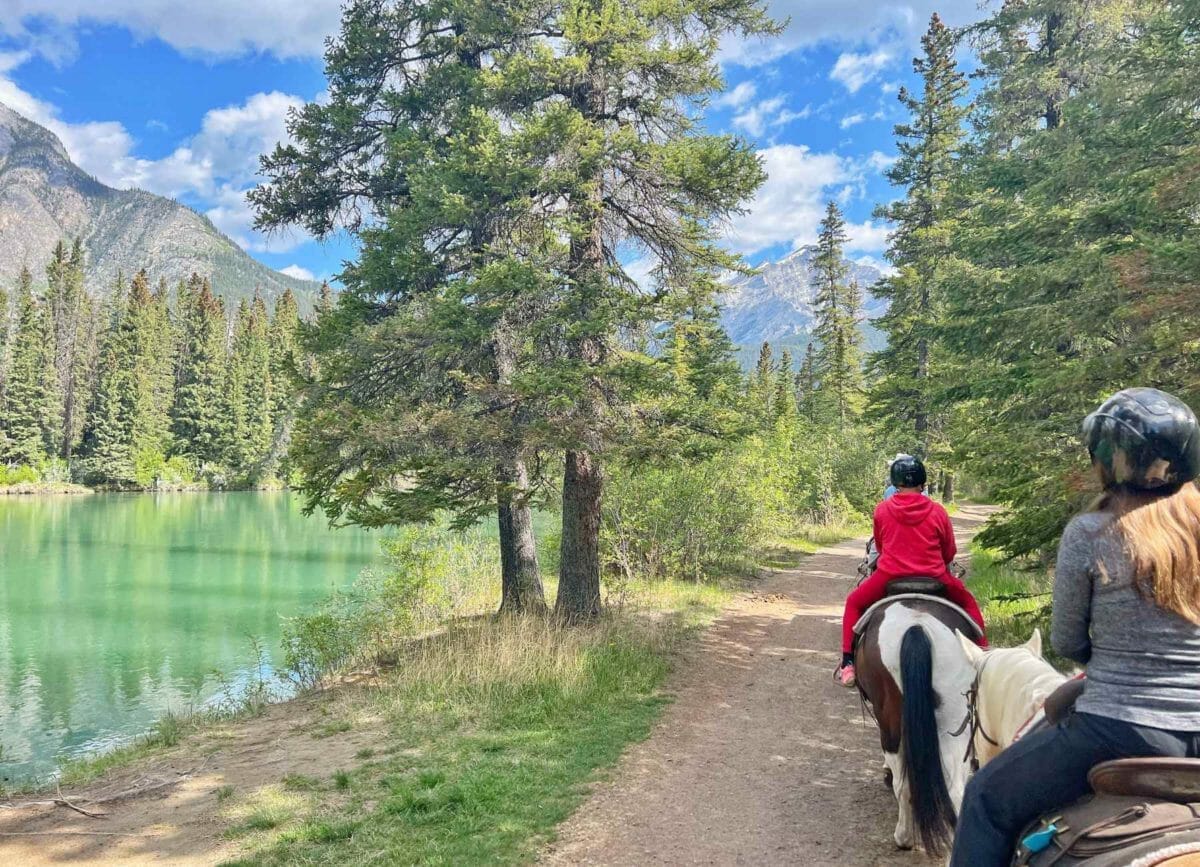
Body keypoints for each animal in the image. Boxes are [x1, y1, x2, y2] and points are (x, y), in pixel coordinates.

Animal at [854, 590, 974, 854]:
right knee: (956, 791)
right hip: (955, 722)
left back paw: (903, 837)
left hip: (889, 718)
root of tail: (917, 626)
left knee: (902, 784)